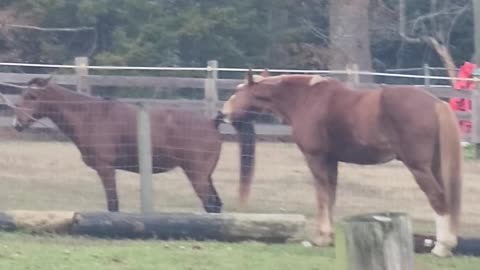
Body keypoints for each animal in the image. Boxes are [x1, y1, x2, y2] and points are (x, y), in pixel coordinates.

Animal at [11, 77, 255, 213]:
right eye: (23, 95)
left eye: (32, 96)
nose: (17, 124)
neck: (91, 116)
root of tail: (212, 122)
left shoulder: (106, 170)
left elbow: (113, 205)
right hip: (205, 176)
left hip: (197, 176)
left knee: (210, 204)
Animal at [221, 69, 462, 258]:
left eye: (237, 91)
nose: (223, 112)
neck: (306, 99)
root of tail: (436, 103)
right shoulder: (331, 161)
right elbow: (331, 196)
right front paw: (329, 237)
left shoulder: (316, 158)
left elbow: (322, 196)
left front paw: (321, 238)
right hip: (434, 166)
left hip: (419, 168)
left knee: (437, 198)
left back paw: (441, 248)